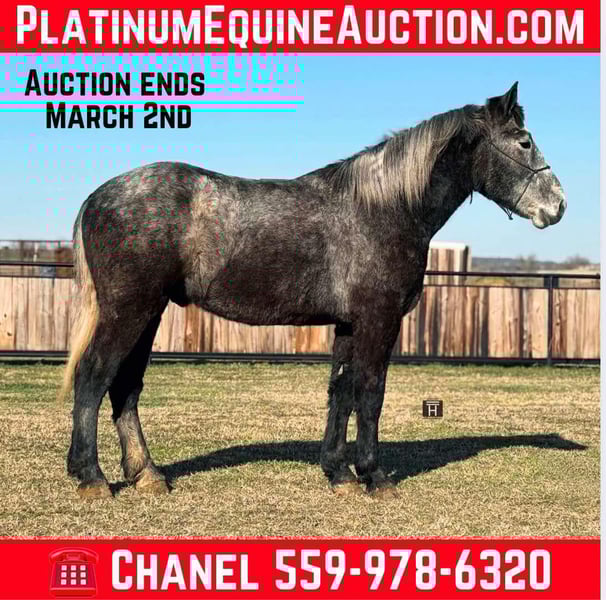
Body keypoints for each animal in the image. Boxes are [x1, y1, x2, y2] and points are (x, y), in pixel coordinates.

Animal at [60, 82, 566, 498]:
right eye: (524, 141)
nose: (558, 205)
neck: (384, 207)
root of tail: (99, 196)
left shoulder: (349, 324)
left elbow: (340, 391)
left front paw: (338, 473)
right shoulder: (379, 319)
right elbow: (370, 391)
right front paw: (374, 476)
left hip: (149, 312)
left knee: (125, 386)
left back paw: (147, 475)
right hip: (129, 310)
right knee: (94, 375)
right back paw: (92, 477)